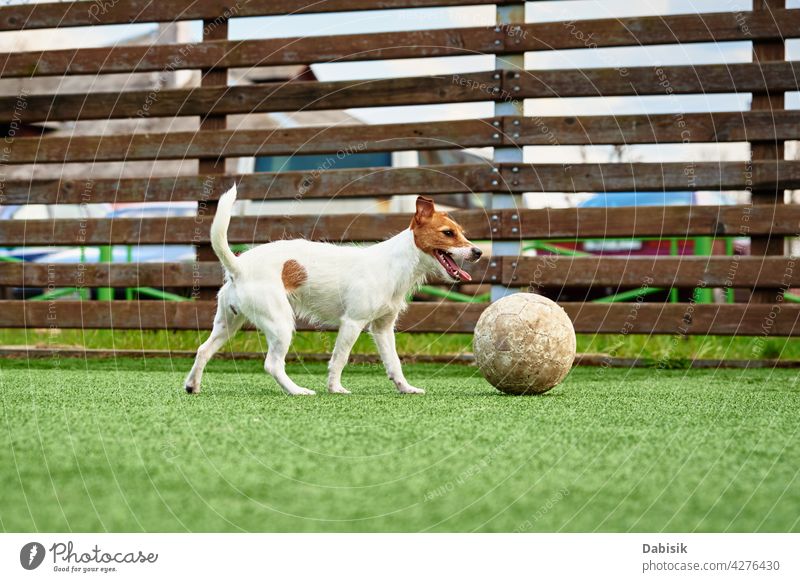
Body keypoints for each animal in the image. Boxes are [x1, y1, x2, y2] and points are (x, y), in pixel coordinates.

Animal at [186, 187, 482, 396]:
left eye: (461, 232)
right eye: (448, 233)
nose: (478, 252)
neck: (396, 263)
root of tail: (239, 266)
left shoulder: (382, 328)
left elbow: (394, 362)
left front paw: (405, 388)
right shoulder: (352, 323)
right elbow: (340, 358)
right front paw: (335, 388)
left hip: (228, 324)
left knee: (203, 350)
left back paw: (192, 386)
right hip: (280, 323)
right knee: (272, 364)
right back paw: (297, 391)